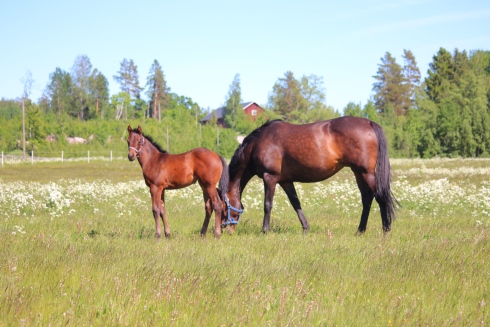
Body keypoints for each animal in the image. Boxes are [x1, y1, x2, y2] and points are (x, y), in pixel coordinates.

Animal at [222, 116, 398, 234]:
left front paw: (264, 230)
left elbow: (267, 205)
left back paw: (386, 230)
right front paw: (306, 228)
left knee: (380, 197)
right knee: (367, 199)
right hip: (358, 173)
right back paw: (360, 231)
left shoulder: (270, 177)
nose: (225, 230)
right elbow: (296, 203)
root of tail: (369, 123)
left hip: (366, 173)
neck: (258, 143)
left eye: (224, 208)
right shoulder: (285, 181)